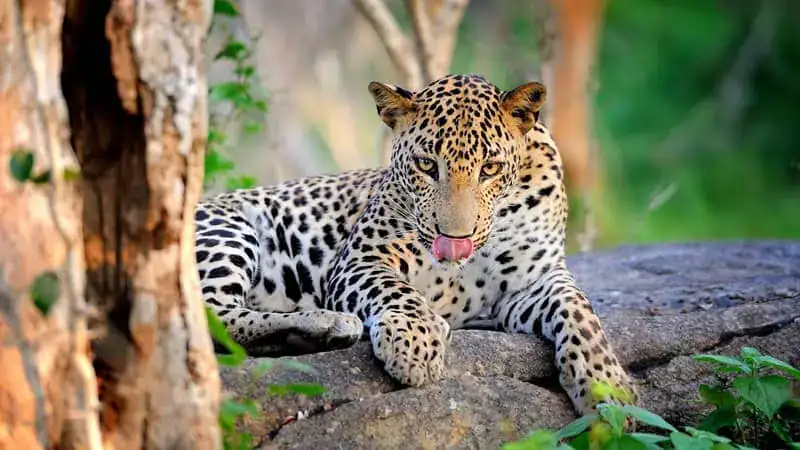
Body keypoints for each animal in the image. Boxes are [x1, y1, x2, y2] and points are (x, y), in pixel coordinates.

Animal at [196, 73, 637, 414]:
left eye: (490, 168)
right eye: (427, 165)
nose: (455, 240)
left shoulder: (533, 281)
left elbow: (579, 309)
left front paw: (608, 386)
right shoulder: (361, 259)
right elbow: (397, 290)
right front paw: (415, 341)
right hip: (229, 227)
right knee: (212, 316)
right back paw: (325, 324)